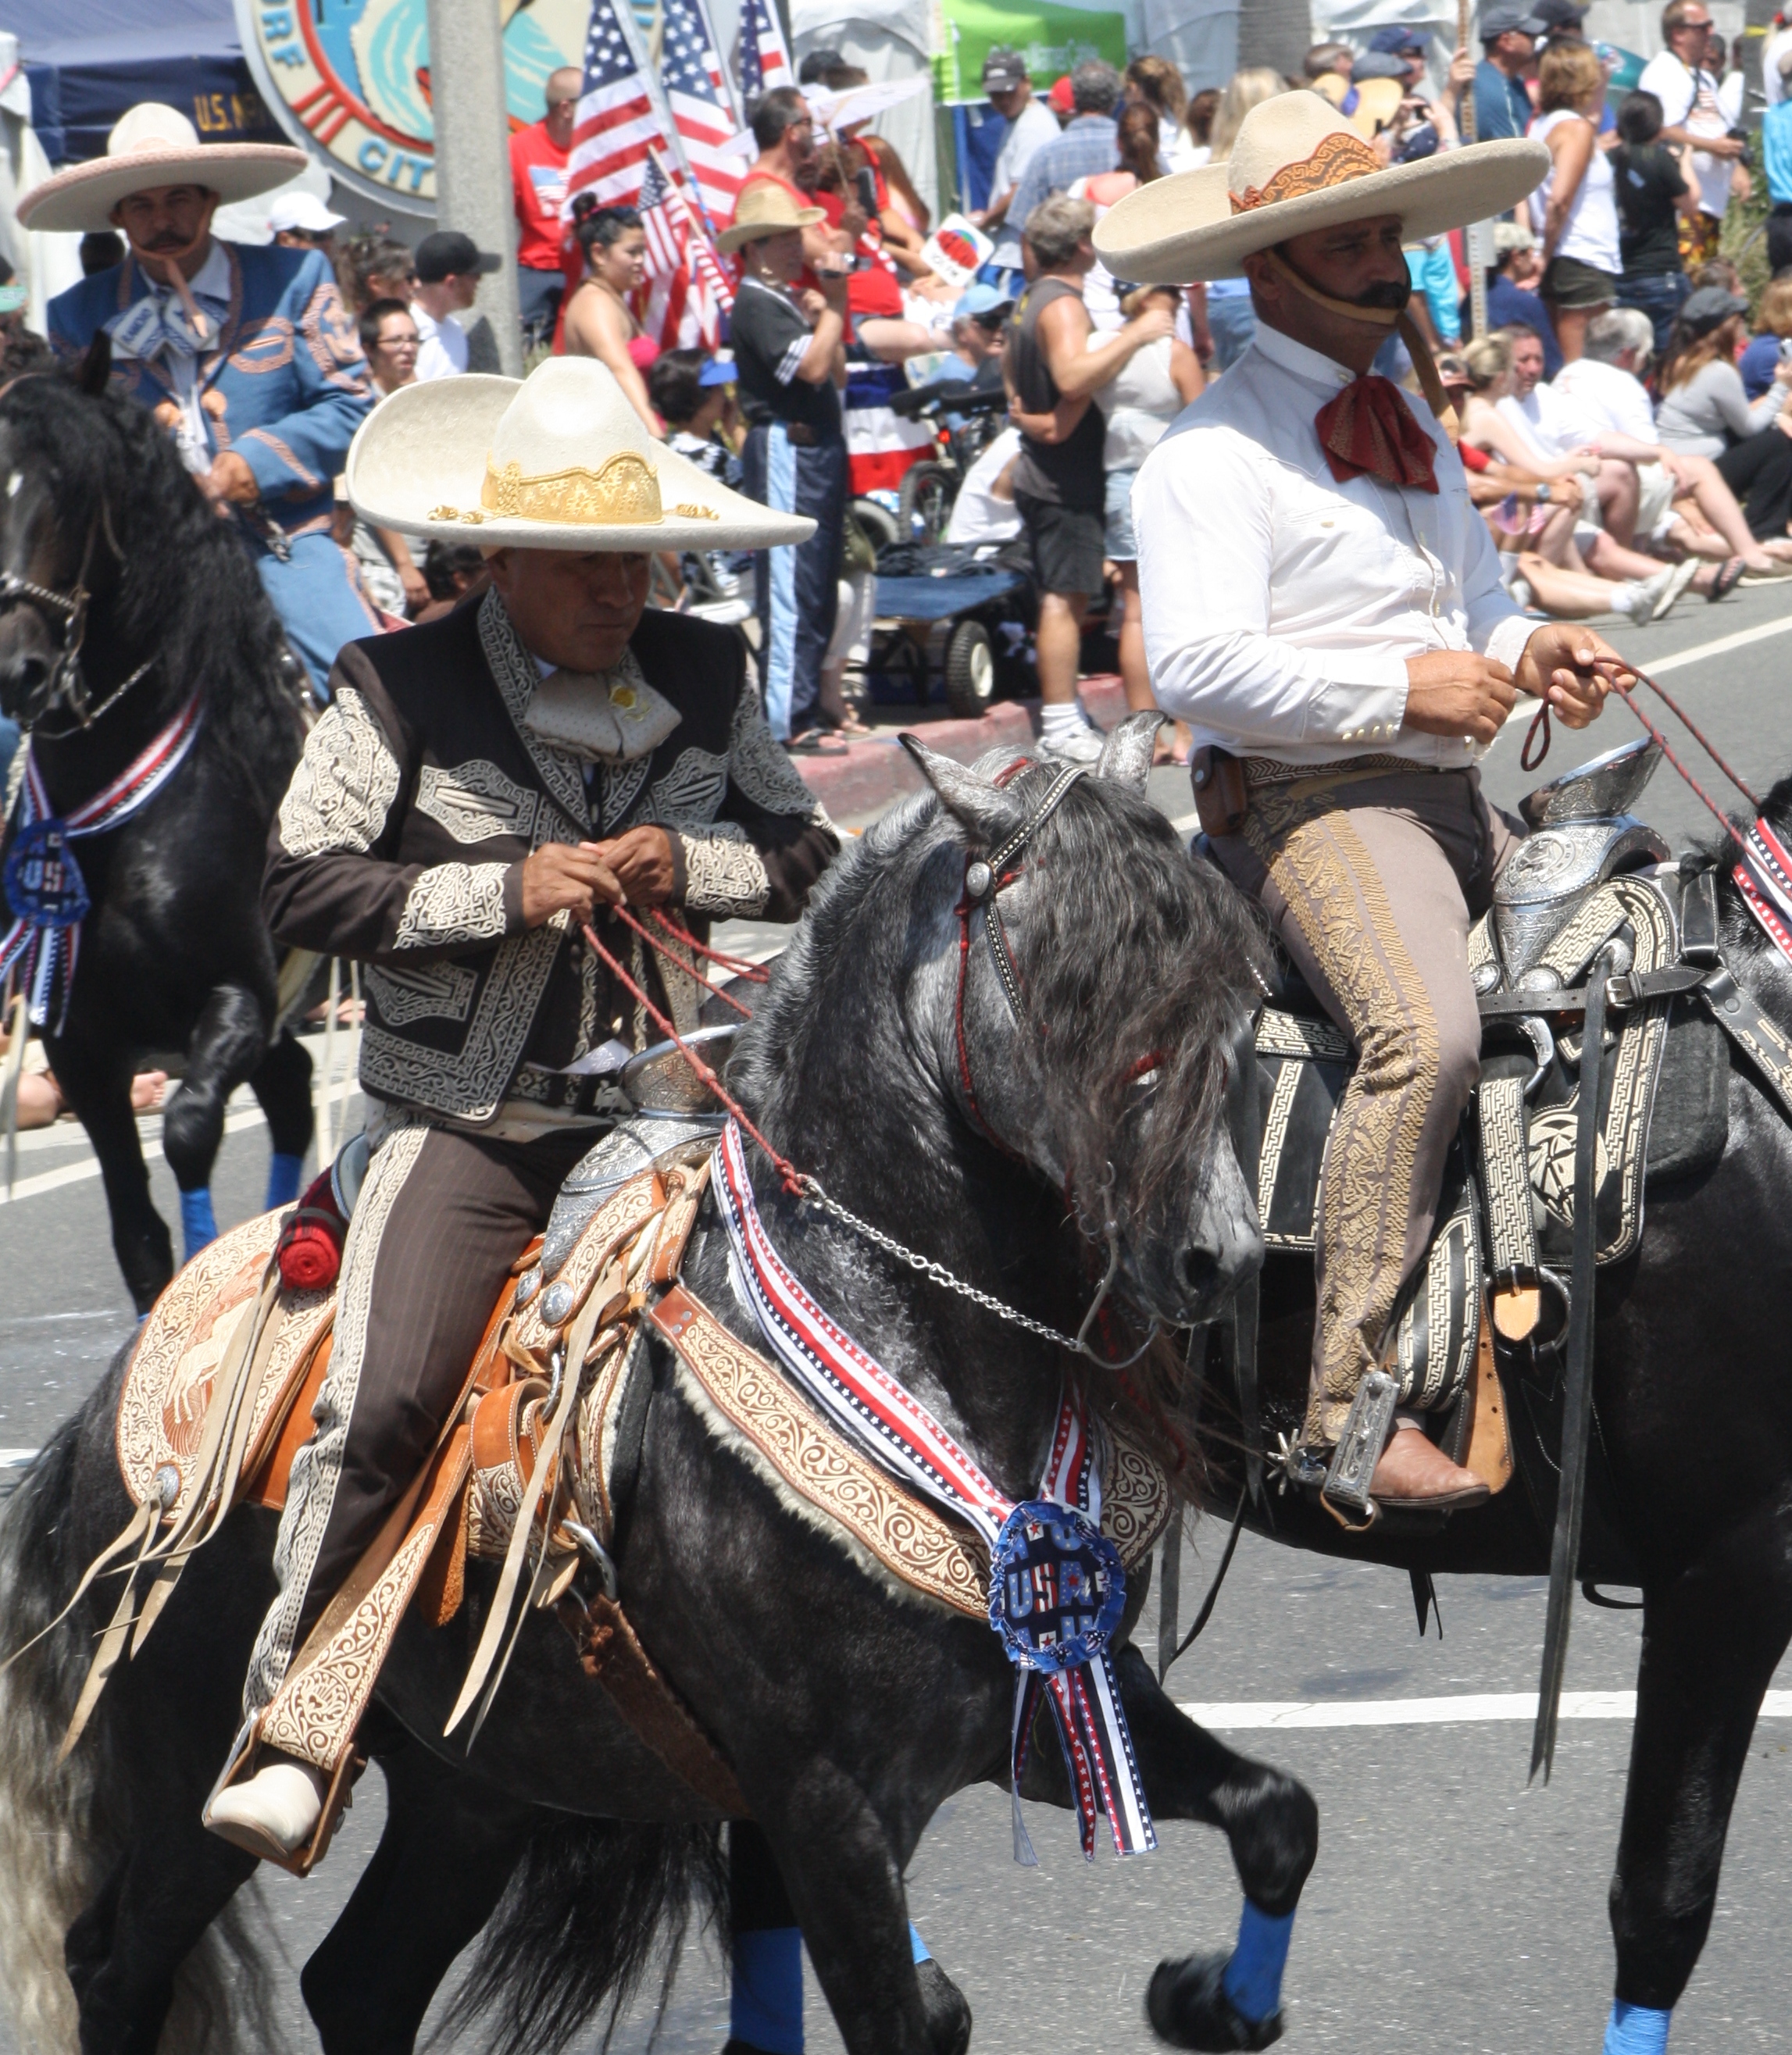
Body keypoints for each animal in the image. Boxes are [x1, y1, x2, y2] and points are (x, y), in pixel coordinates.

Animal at [0, 344, 314, 1312]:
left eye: (71, 490)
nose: (16, 669)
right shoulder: (78, 1049)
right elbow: (137, 1232)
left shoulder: (236, 996)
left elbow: (185, 1132)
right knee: (294, 1091)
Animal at [0, 725, 1320, 2055]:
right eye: (1073, 981)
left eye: (1229, 985)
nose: (1214, 1257)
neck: (885, 1334)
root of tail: (111, 1401)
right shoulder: (824, 1801)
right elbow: (907, 2013)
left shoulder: (1050, 1693)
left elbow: (1278, 1813)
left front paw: (1212, 1996)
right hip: (191, 1768)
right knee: (119, 1963)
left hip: (475, 1786)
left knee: (361, 1979)